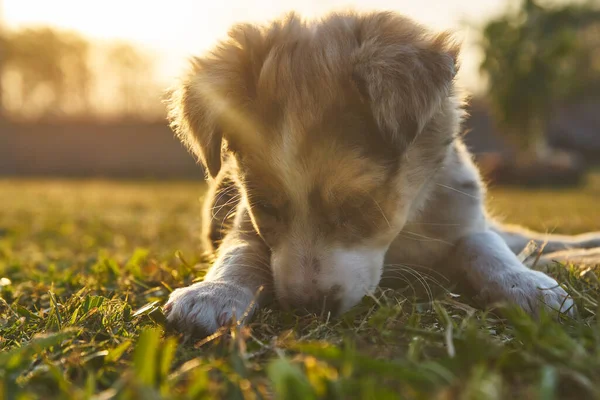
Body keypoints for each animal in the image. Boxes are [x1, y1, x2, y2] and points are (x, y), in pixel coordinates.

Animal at [164, 10, 600, 338]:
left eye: (358, 206)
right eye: (265, 206)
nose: (308, 308)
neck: (401, 232)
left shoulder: (461, 217)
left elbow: (485, 245)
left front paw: (523, 284)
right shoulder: (245, 225)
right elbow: (240, 252)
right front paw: (214, 292)